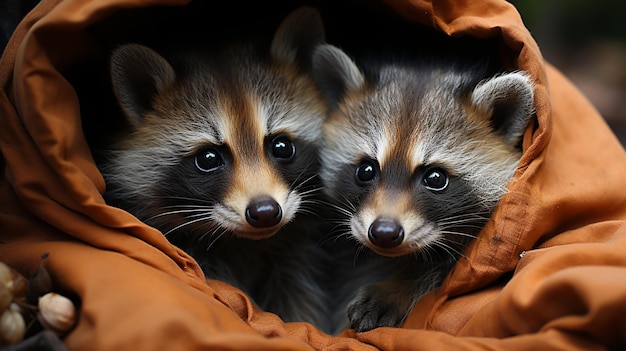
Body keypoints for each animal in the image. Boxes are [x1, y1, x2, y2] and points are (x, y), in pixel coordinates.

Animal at [98, 7, 332, 332]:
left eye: (282, 146)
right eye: (208, 158)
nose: (265, 212)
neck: (244, 244)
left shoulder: (299, 251)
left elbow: (301, 289)